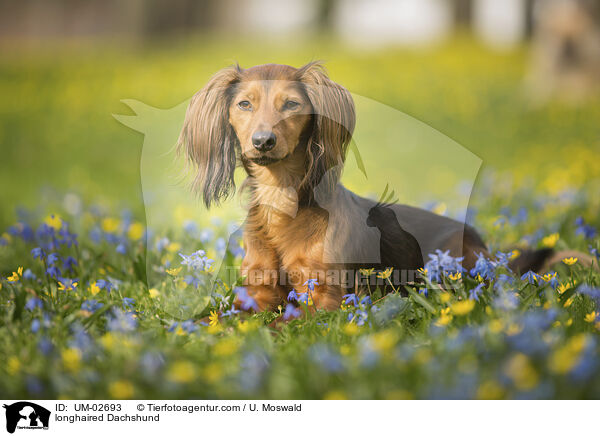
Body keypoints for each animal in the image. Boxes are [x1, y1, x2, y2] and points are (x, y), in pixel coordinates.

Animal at [178, 62, 580, 310]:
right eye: (244, 104)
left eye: (291, 104)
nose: (263, 141)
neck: (283, 200)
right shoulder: (253, 296)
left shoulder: (322, 300)